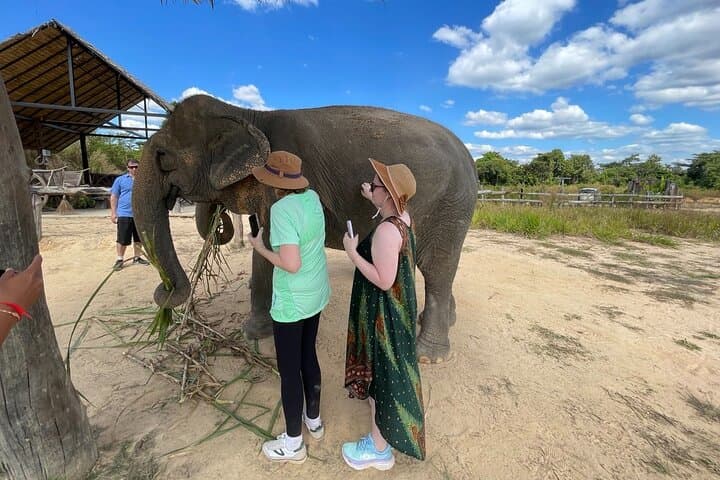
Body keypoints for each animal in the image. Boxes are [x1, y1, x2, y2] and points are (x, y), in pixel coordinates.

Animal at [133, 94, 476, 362]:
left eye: (164, 158)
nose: (164, 290)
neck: (245, 114)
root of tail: (470, 159)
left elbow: (273, 246)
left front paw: (259, 339)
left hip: (450, 203)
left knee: (436, 267)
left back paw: (429, 355)